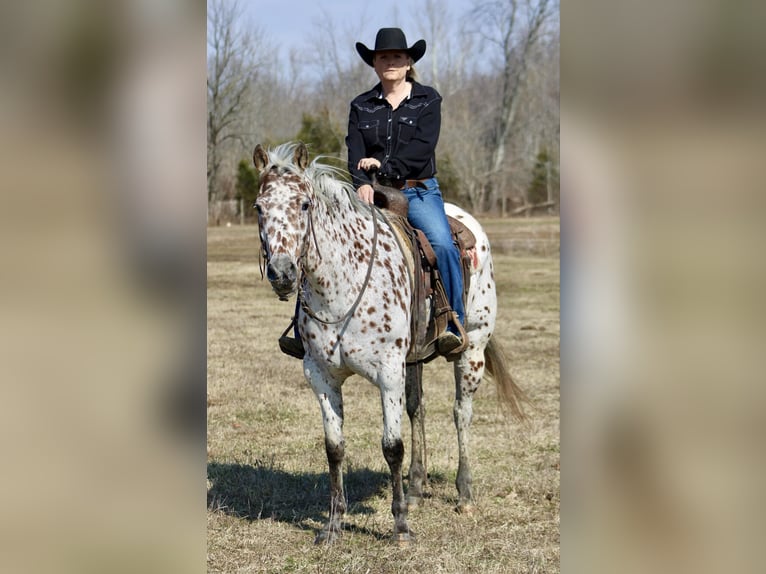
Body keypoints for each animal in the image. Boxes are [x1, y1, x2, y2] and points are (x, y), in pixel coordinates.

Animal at [252, 142, 528, 548]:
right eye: (259, 207)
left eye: (304, 204)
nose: (283, 273)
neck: (340, 286)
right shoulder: (320, 376)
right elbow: (334, 448)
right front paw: (333, 525)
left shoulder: (387, 373)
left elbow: (391, 447)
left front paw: (400, 527)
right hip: (413, 361)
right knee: (417, 410)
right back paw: (415, 488)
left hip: (472, 350)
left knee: (461, 414)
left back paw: (464, 494)